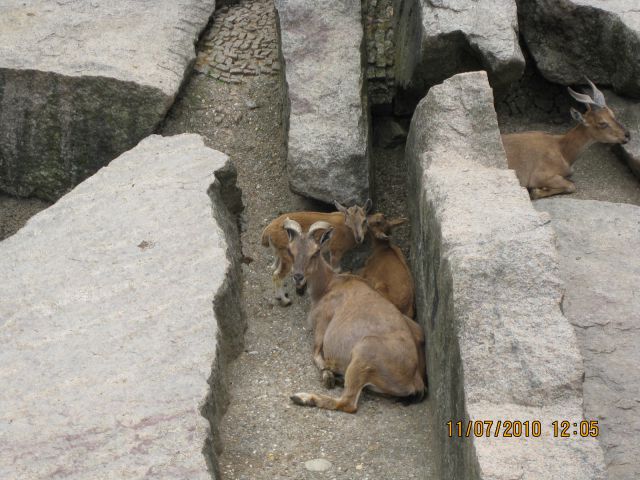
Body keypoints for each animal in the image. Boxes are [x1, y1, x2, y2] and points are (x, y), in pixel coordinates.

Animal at [284, 219, 424, 414]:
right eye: (290, 250)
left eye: (316, 252)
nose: (298, 276)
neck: (328, 286)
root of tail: (414, 381)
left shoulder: (322, 323)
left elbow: (315, 354)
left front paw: (327, 374)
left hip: (363, 355)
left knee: (348, 403)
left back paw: (303, 396)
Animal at [500, 78, 632, 198]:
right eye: (602, 123)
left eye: (612, 114)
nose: (627, 135)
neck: (562, 150)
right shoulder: (539, 175)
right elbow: (571, 186)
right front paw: (536, 191)